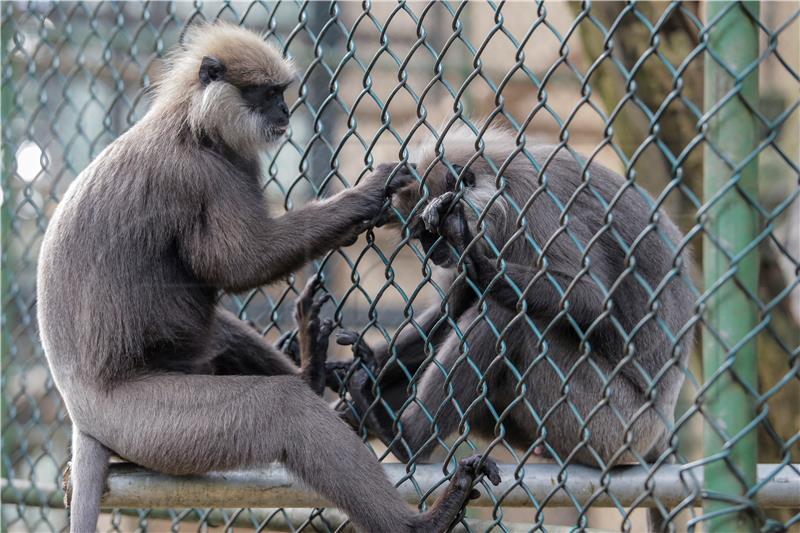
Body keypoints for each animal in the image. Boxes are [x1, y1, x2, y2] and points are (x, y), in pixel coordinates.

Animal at [39, 21, 500, 532]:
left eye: (282, 94)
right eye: (269, 94)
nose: (284, 111)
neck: (193, 127)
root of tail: (82, 413)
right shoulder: (195, 173)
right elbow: (238, 263)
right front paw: (366, 195)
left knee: (221, 336)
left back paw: (311, 371)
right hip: (144, 423)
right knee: (283, 409)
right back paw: (422, 520)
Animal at [320, 121, 692, 478]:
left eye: (430, 233)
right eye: (420, 236)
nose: (432, 251)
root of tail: (660, 432)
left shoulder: (532, 202)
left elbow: (591, 298)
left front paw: (479, 264)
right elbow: (449, 310)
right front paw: (350, 366)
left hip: (609, 425)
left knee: (508, 315)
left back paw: (405, 439)